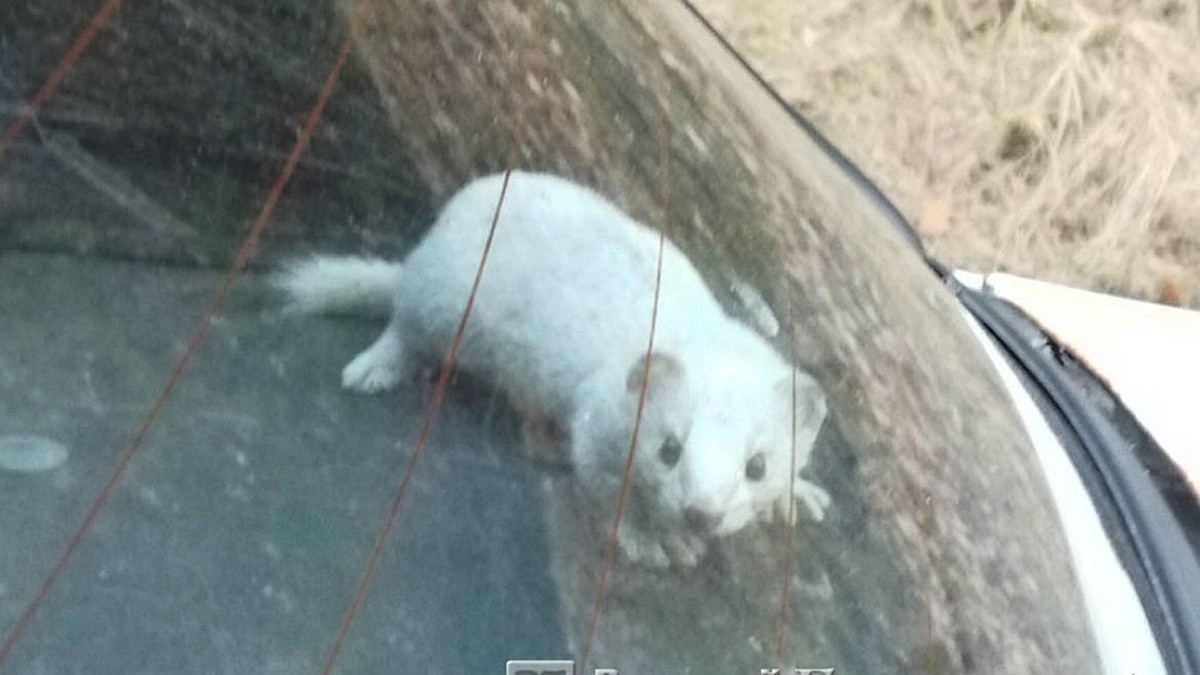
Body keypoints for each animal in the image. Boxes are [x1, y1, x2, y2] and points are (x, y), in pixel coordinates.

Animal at [274, 170, 830, 564]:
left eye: (758, 465)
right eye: (669, 448)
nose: (702, 514)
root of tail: (425, 250)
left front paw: (799, 496)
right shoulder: (595, 421)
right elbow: (603, 485)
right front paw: (654, 540)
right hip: (440, 300)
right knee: (404, 327)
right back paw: (376, 369)